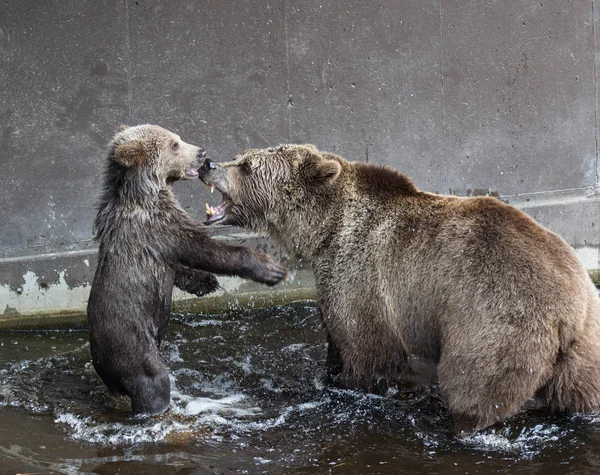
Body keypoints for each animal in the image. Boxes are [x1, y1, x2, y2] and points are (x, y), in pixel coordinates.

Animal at [86, 125, 288, 416]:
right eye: (174, 144)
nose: (202, 153)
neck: (148, 190)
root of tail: (104, 370)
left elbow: (181, 266)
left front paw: (206, 282)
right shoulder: (161, 225)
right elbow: (204, 249)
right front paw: (270, 268)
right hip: (131, 345)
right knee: (152, 381)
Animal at [198, 144, 600, 436]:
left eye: (247, 165)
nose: (207, 164)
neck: (325, 229)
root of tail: (567, 311)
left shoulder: (361, 274)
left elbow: (366, 348)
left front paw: (346, 386)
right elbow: (337, 338)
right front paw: (327, 376)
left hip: (495, 323)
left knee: (473, 387)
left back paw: (461, 427)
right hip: (585, 344)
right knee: (582, 391)